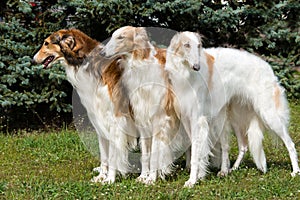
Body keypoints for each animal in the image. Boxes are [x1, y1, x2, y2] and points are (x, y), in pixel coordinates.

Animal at [32, 28, 137, 184]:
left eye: (46, 43)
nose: (33, 60)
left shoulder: (116, 121)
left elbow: (113, 155)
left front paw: (110, 179)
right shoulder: (100, 120)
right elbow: (104, 155)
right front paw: (101, 176)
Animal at [165, 30, 298, 186]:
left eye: (198, 46)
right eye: (186, 45)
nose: (197, 67)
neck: (185, 72)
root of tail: (268, 68)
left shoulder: (197, 119)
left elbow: (196, 155)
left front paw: (192, 181)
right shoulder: (187, 118)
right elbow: (196, 150)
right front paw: (200, 176)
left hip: (269, 114)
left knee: (290, 144)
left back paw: (295, 171)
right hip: (235, 118)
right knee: (243, 146)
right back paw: (231, 169)